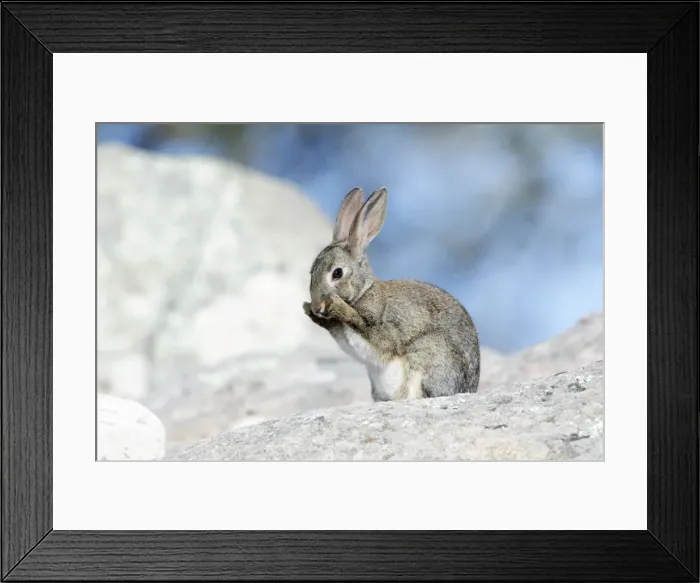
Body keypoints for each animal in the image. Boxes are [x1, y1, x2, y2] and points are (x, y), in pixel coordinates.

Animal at [302, 186, 480, 401]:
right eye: (312, 272)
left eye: (337, 273)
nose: (316, 306)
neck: (364, 292)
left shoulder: (386, 329)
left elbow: (368, 330)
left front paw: (338, 308)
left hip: (428, 356)